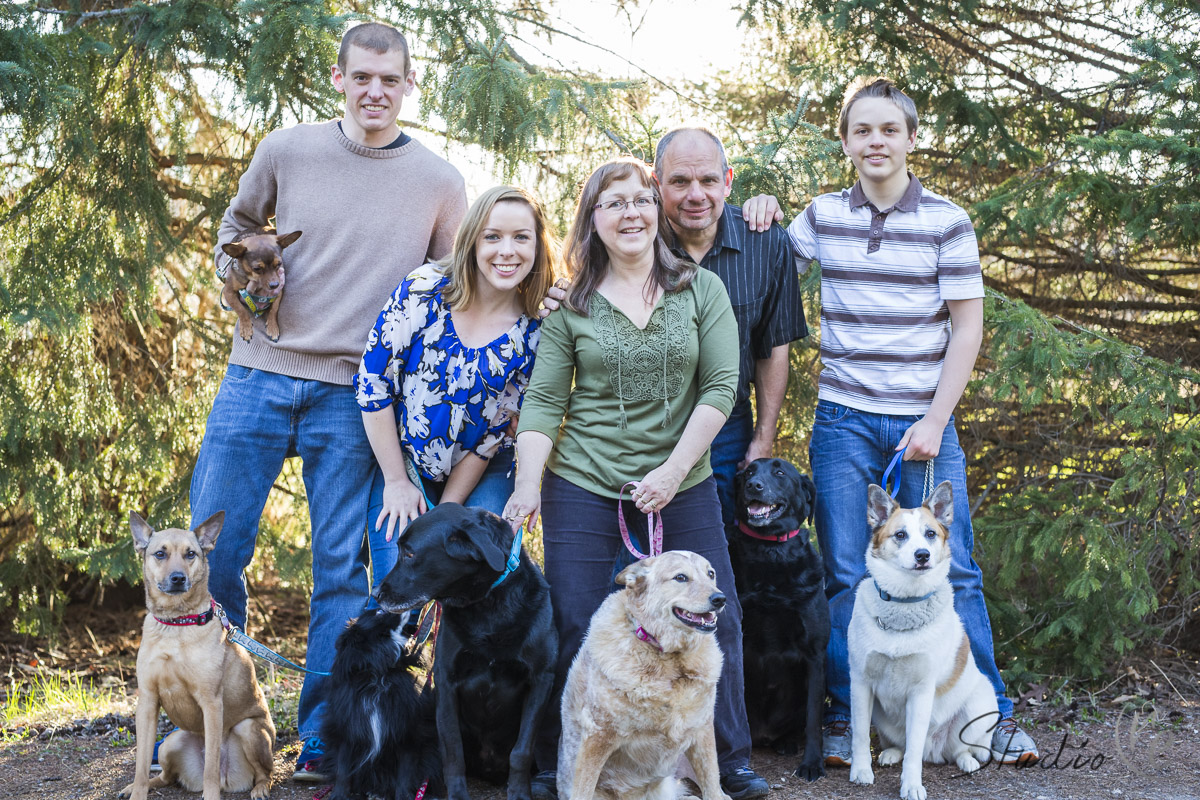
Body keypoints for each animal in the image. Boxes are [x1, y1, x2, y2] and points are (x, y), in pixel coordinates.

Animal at [118, 510, 274, 800]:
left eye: (190, 554)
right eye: (160, 554)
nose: (178, 578)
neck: (176, 623)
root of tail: (229, 780)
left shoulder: (211, 704)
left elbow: (211, 765)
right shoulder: (147, 702)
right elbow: (141, 763)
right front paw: (138, 790)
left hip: (249, 730)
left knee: (263, 773)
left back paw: (259, 788)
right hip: (170, 742)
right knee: (166, 776)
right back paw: (142, 785)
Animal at [559, 554, 729, 800]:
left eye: (711, 574)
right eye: (680, 577)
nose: (720, 598)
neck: (669, 659)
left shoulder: (702, 728)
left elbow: (712, 783)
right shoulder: (597, 735)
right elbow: (583, 790)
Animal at [724, 455, 830, 782]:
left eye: (780, 473)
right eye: (748, 472)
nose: (753, 486)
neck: (770, 550)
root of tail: (764, 734)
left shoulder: (815, 655)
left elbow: (813, 719)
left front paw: (812, 764)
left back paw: (787, 742)